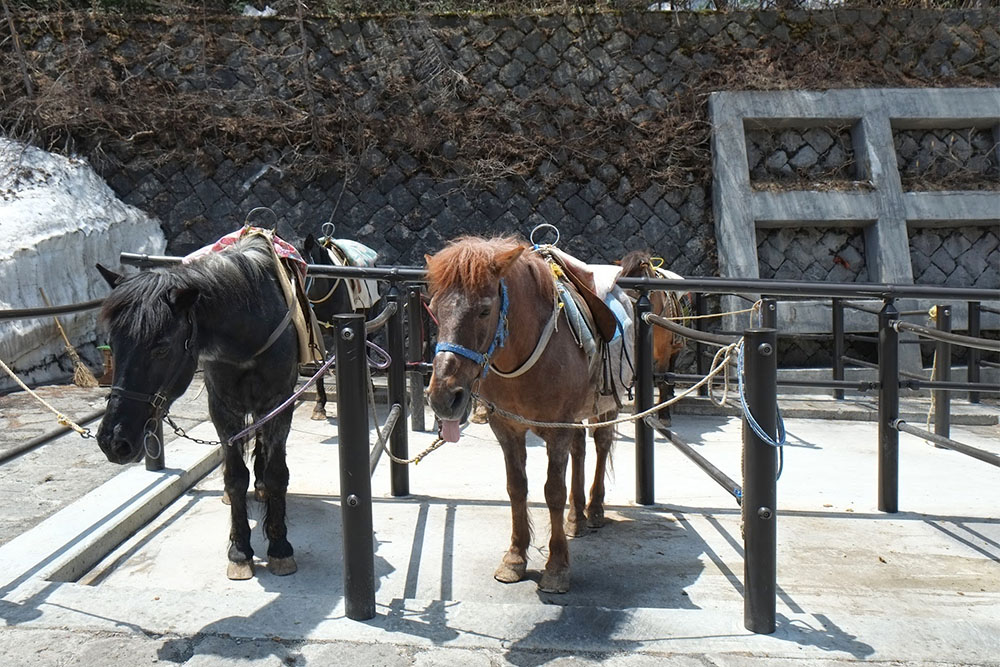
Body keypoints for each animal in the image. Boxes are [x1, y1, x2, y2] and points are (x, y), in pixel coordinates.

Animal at [97, 234, 300, 580]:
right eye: (113, 343)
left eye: (161, 348)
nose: (113, 441)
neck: (248, 338)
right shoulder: (222, 409)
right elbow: (235, 476)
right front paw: (239, 551)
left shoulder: (280, 403)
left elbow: (276, 474)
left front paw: (280, 547)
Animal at [424, 236, 632, 596]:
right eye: (434, 311)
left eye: (484, 309)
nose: (443, 398)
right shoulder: (506, 428)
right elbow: (516, 487)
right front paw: (514, 558)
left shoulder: (557, 429)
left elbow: (553, 491)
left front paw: (557, 567)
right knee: (580, 448)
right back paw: (576, 517)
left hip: (604, 405)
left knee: (601, 444)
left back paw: (594, 510)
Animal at [616, 250, 688, 422]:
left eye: (634, 282)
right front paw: (636, 411)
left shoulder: (664, 351)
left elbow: (662, 380)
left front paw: (664, 415)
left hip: (675, 349)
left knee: (671, 368)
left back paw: (670, 393)